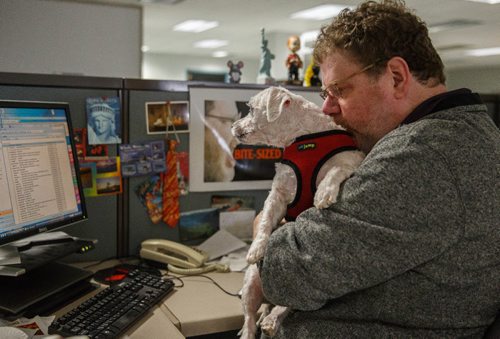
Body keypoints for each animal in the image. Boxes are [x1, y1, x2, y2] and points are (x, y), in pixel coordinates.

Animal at [230, 87, 364, 339]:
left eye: (251, 108)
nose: (233, 126)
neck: (303, 138)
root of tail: (269, 299)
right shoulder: (279, 193)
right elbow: (265, 222)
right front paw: (256, 248)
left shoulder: (350, 160)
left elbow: (335, 169)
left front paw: (323, 192)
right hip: (251, 282)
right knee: (250, 319)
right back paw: (256, 324)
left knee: (288, 304)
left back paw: (272, 318)